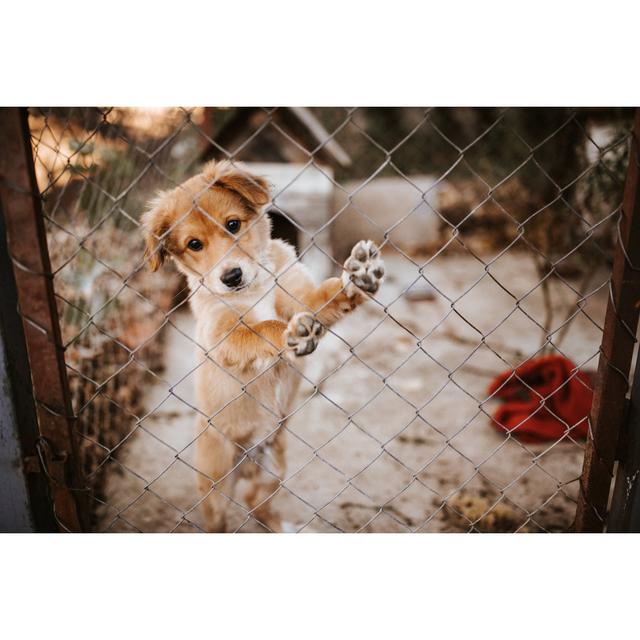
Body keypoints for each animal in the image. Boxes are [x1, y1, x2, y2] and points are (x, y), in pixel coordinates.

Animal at [144, 160, 384, 528]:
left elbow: (328, 295)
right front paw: (290, 334)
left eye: (232, 224)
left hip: (273, 470)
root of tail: (249, 459)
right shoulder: (224, 334)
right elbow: (262, 328)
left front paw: (359, 276)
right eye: (194, 244)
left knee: (257, 505)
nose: (231, 277)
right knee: (219, 521)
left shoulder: (302, 298)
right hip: (215, 482)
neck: (258, 284)